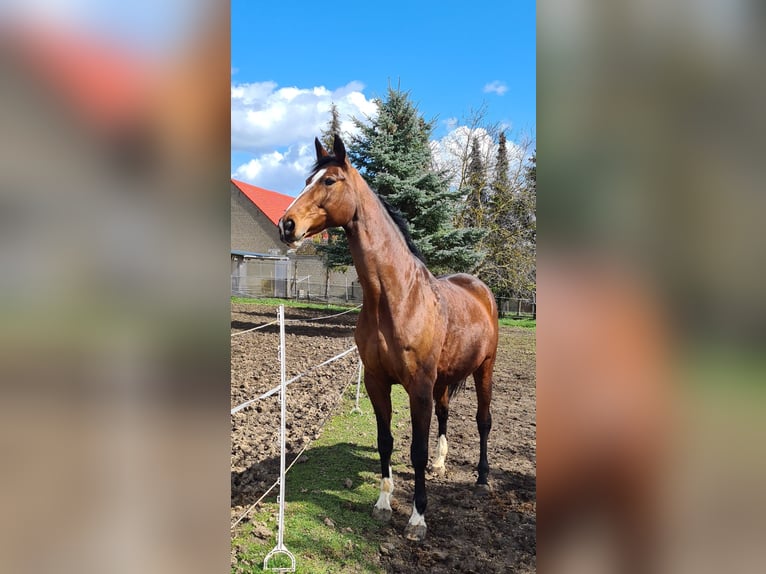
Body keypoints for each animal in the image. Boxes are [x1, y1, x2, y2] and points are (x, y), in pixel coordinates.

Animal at [280, 136, 500, 544]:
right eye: (306, 180)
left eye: (329, 181)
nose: (287, 225)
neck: (397, 297)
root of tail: (481, 290)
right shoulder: (377, 381)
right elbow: (386, 442)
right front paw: (383, 504)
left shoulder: (419, 387)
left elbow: (415, 449)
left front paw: (417, 519)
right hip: (444, 380)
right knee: (445, 414)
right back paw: (440, 464)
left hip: (484, 370)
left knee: (483, 421)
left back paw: (481, 479)